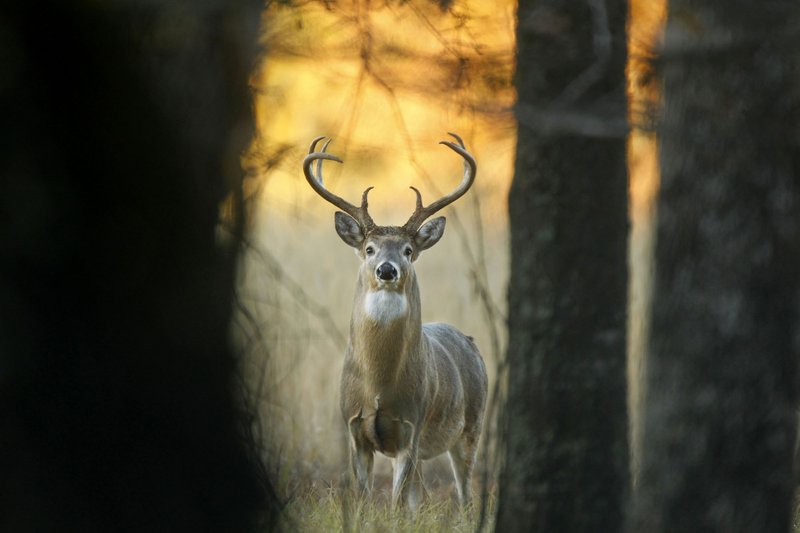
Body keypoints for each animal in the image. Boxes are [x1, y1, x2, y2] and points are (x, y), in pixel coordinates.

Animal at [302, 133, 484, 512]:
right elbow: (363, 499)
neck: (378, 386)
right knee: (421, 495)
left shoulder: (410, 427)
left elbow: (397, 503)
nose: (387, 270)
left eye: (408, 251)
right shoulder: (354, 427)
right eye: (370, 249)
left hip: (471, 425)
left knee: (464, 494)